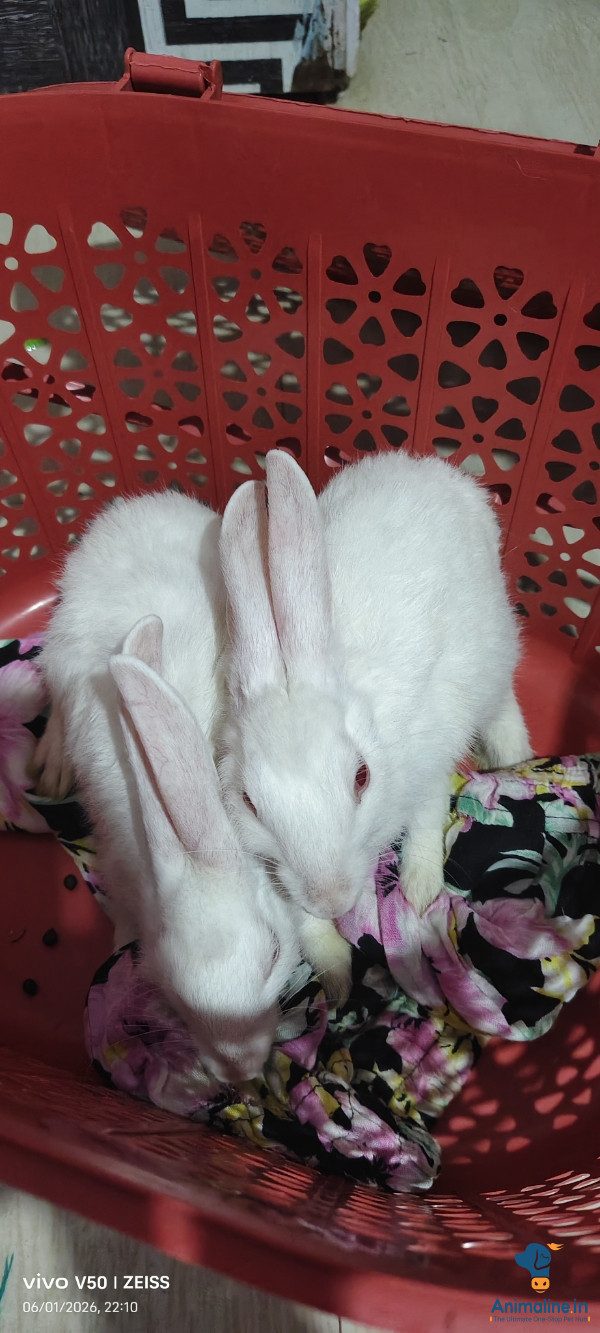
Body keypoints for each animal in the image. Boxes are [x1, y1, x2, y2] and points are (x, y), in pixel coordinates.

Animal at [36, 491, 301, 1085]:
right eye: (176, 993)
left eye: (275, 955)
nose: (242, 1072)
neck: (188, 839)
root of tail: (125, 509)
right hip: (61, 652)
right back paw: (50, 763)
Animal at [218, 448, 531, 923]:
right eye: (249, 803)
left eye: (362, 778)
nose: (331, 902)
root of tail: (442, 474)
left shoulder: (432, 757)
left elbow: (427, 816)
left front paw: (420, 889)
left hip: (491, 652)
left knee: (504, 706)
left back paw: (515, 757)